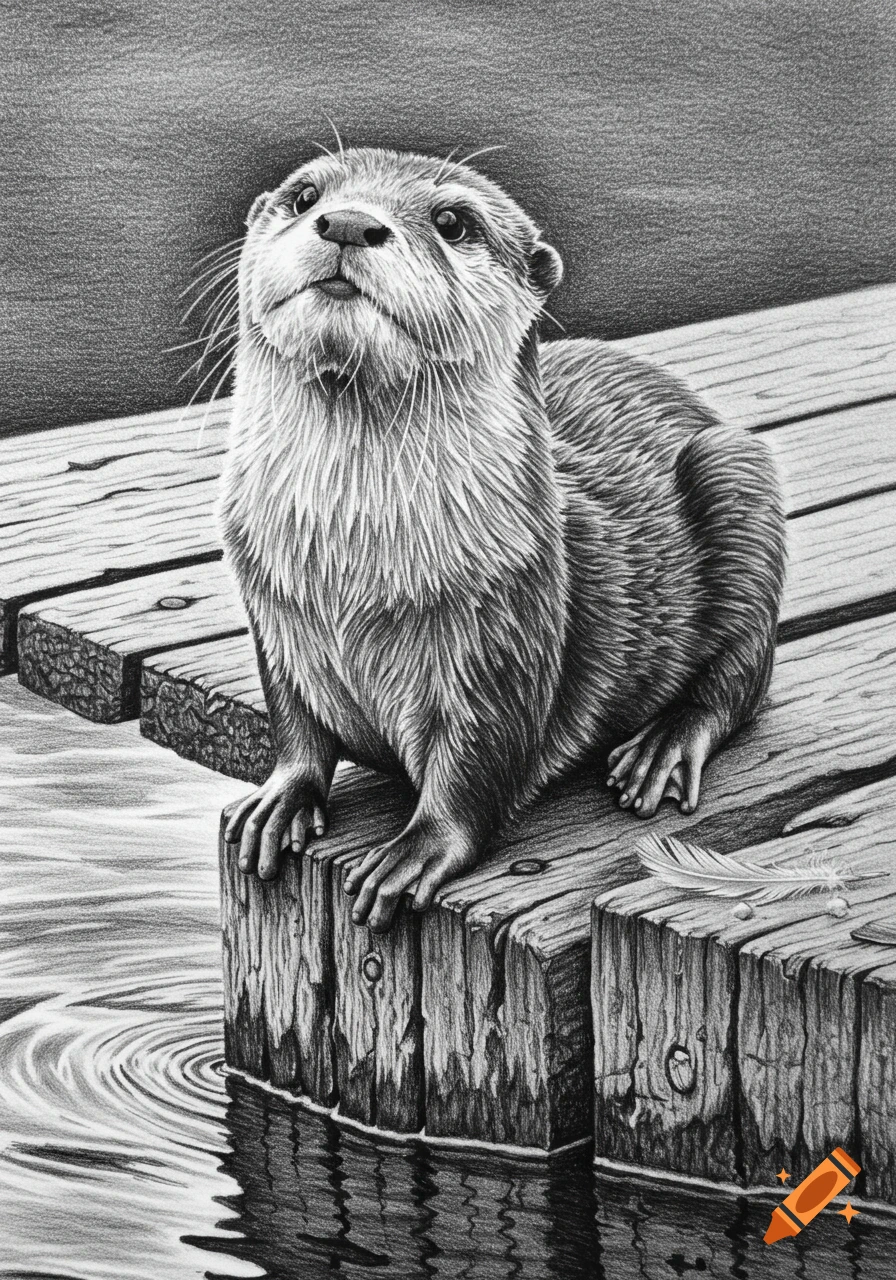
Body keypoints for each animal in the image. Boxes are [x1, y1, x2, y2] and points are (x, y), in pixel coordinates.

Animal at [221, 146, 785, 933]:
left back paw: (665, 745)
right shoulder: (272, 612)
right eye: (305, 195)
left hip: (739, 479)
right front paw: (281, 800)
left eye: (453, 221)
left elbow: (478, 761)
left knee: (742, 675)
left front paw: (417, 850)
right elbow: (296, 726)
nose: (350, 222)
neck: (349, 567)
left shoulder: (508, 628)